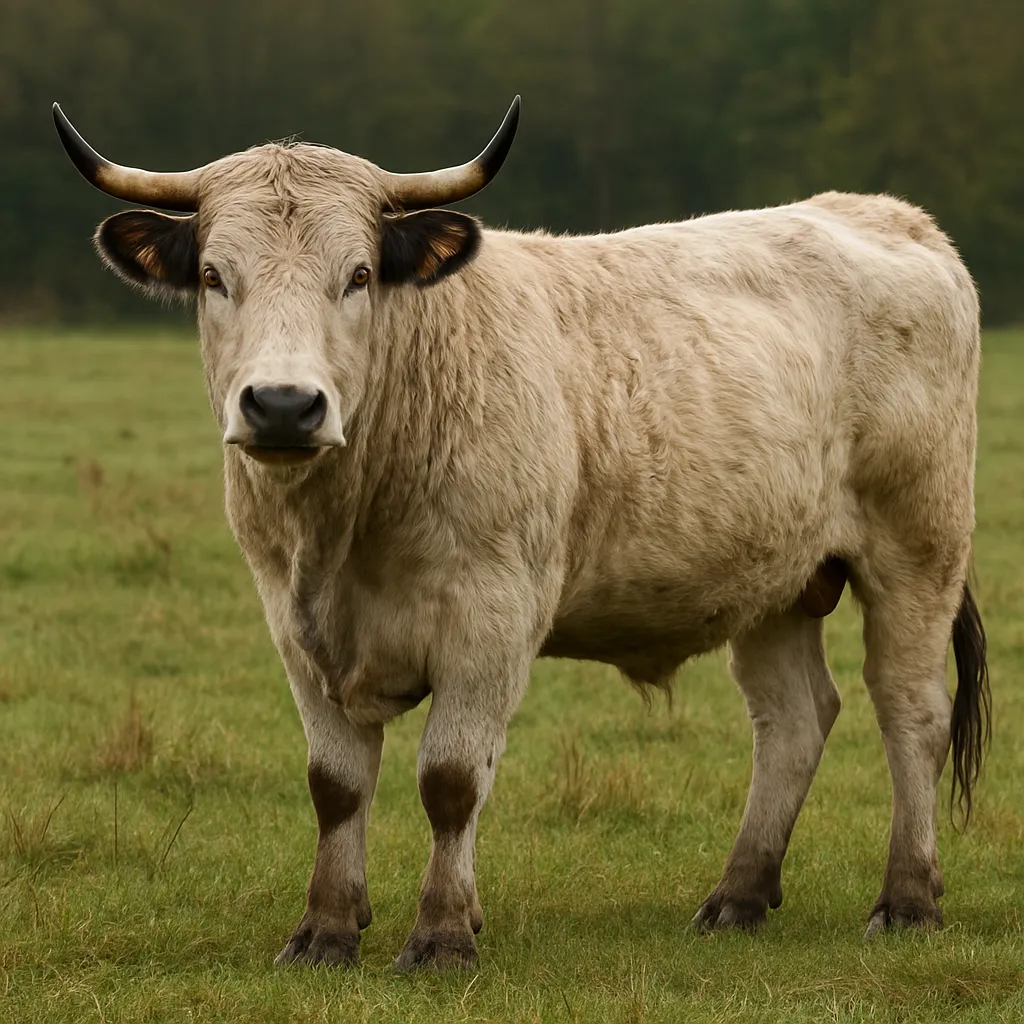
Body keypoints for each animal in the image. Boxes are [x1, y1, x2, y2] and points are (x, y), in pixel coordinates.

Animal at [53, 96, 990, 970]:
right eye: (216, 276)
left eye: (358, 275)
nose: (283, 405)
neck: (345, 527)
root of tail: (891, 216)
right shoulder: (294, 625)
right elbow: (337, 785)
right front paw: (325, 929)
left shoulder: (491, 618)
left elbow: (451, 779)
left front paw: (441, 935)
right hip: (778, 581)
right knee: (793, 717)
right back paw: (738, 896)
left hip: (918, 546)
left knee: (911, 709)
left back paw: (907, 901)